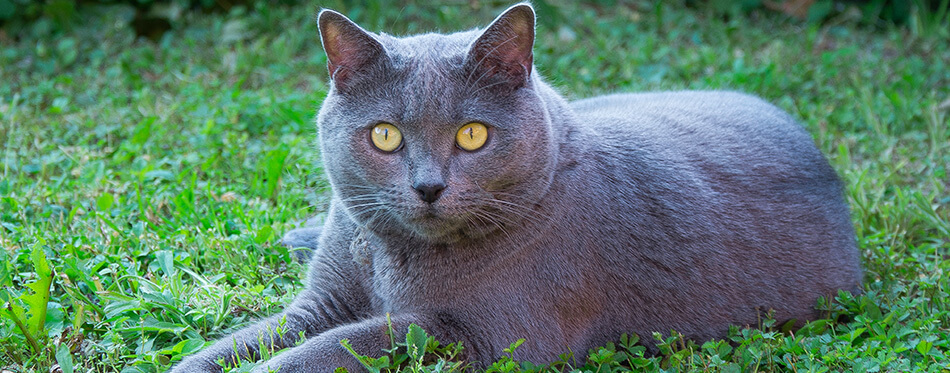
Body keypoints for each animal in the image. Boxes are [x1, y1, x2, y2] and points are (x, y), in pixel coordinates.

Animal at [171, 3, 864, 372]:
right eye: (385, 136)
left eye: (473, 135)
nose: (428, 186)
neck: (393, 257)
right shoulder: (320, 303)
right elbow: (247, 339)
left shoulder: (484, 334)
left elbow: (352, 341)